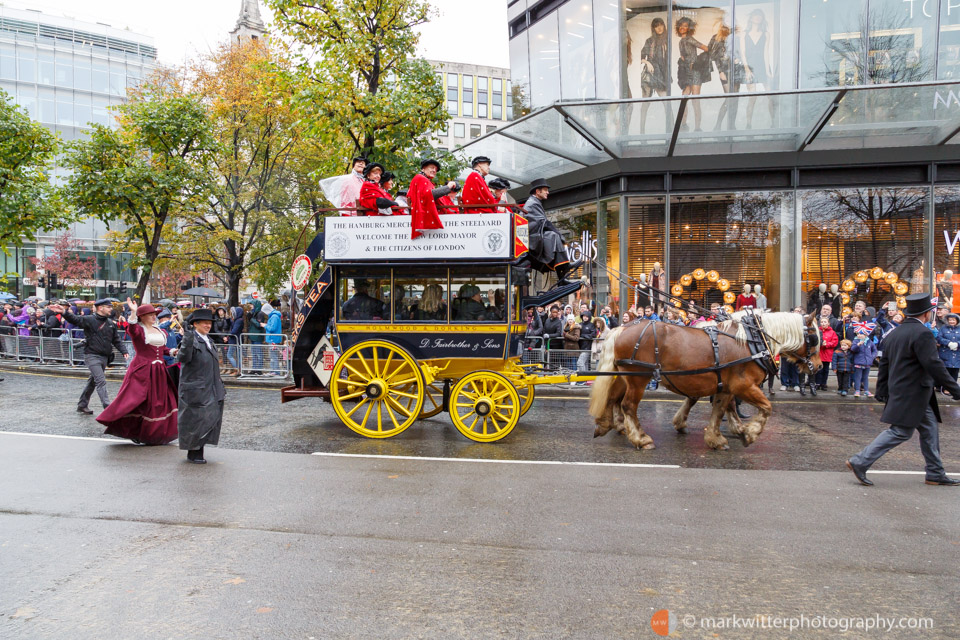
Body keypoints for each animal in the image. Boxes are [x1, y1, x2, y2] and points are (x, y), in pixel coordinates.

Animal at [588, 310, 820, 450]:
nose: (817, 366)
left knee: (612, 398)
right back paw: (641, 438)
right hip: (638, 378)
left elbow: (720, 409)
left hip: (623, 376)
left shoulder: (724, 386)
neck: (754, 340)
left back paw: (605, 425)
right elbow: (766, 407)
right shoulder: (743, 385)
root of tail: (622, 328)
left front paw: (718, 436)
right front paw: (750, 434)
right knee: (628, 405)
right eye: (815, 338)